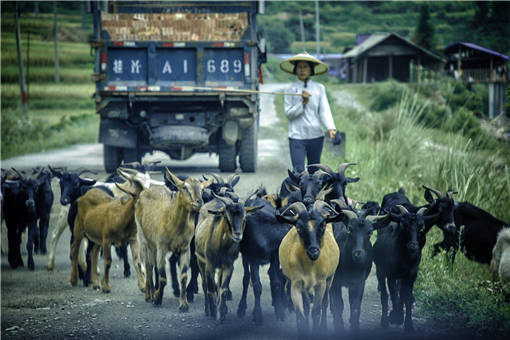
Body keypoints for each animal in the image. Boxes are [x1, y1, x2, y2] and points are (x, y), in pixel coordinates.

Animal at [134, 169, 212, 310]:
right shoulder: (161, 247)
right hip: (144, 239)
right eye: (185, 187)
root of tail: (145, 190)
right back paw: (149, 294)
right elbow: (163, 277)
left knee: (150, 264)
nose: (199, 202)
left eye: (202, 189)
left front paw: (184, 304)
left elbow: (184, 276)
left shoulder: (185, 248)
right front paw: (157, 299)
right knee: (148, 265)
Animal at [274, 201, 342, 336]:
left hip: (330, 279)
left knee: (325, 304)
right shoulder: (295, 284)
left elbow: (316, 312)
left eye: (322, 225)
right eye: (298, 226)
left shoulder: (321, 284)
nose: (313, 251)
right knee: (306, 307)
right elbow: (301, 316)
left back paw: (324, 326)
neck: (311, 267)